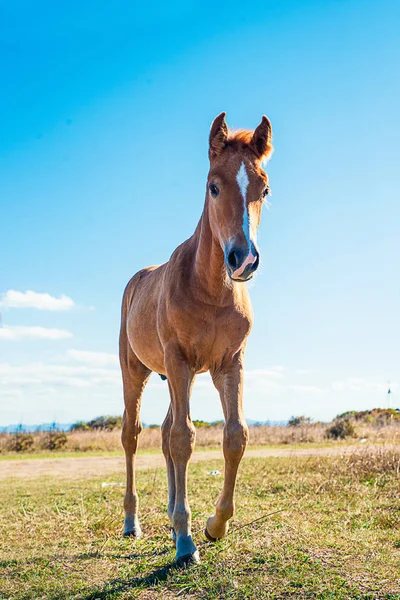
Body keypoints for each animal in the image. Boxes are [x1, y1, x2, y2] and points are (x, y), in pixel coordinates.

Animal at [119, 113, 272, 568]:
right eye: (213, 186)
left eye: (264, 189)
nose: (244, 259)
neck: (210, 288)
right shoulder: (179, 361)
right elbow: (184, 439)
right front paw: (186, 543)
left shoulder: (229, 364)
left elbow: (234, 436)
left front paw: (212, 525)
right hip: (138, 372)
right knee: (133, 435)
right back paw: (133, 522)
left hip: (175, 379)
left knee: (165, 433)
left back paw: (171, 518)